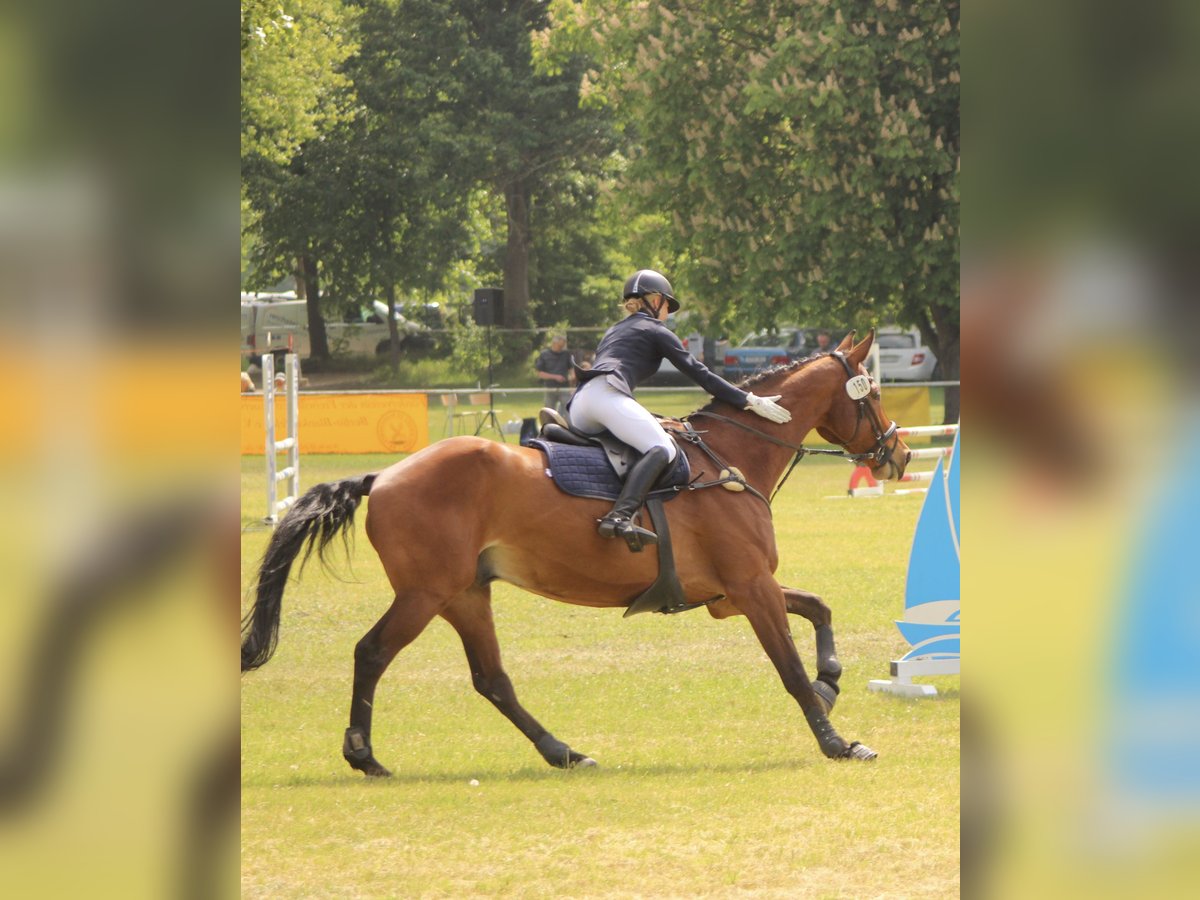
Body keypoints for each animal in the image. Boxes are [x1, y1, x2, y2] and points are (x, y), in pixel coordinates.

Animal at [241, 330, 911, 774]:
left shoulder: (729, 594)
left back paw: (564, 752)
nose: (899, 456)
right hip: (426, 592)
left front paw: (831, 681)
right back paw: (365, 755)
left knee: (492, 679)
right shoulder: (749, 585)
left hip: (466, 593)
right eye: (873, 392)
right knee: (373, 652)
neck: (730, 456)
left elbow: (819, 608)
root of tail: (382, 476)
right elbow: (789, 667)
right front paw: (838, 741)